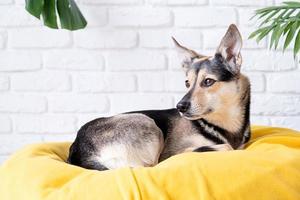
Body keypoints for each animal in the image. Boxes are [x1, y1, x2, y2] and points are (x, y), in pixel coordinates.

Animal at [67, 23, 251, 170]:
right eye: (187, 83)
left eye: (208, 81)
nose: (180, 106)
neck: (222, 124)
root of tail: (78, 149)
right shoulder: (172, 152)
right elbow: (224, 147)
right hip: (146, 122)